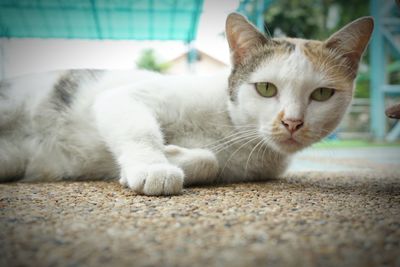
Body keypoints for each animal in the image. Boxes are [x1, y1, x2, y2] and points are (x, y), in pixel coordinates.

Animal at [0, 13, 376, 197]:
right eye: (266, 88)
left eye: (322, 94)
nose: (292, 122)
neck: (231, 129)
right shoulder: (121, 98)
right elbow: (141, 131)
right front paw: (156, 166)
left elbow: (210, 162)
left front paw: (174, 156)